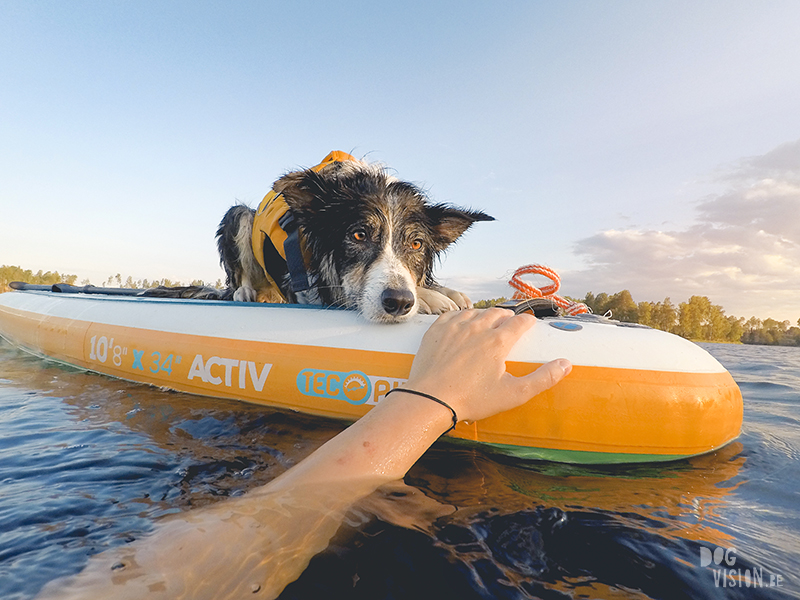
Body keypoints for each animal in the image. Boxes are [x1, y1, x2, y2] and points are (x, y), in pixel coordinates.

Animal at [147, 152, 490, 324]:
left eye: (417, 244)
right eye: (359, 234)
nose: (399, 302)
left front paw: (443, 292)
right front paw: (432, 298)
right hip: (239, 215)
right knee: (237, 277)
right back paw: (244, 292)